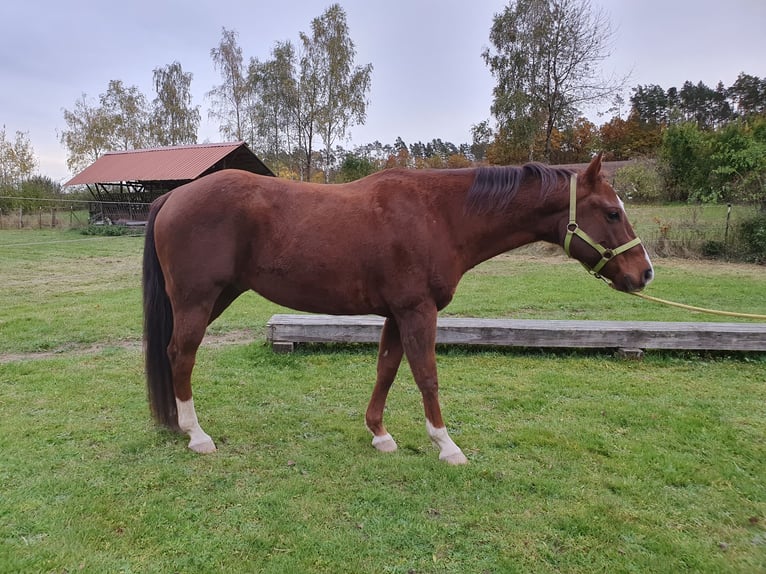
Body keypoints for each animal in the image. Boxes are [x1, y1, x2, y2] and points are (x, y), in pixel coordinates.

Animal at [142, 154, 656, 468]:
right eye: (612, 212)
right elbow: (426, 374)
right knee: (182, 356)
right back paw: (196, 435)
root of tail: (173, 195)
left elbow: (387, 369)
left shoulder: (395, 313)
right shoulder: (417, 310)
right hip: (198, 300)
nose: (645, 273)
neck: (440, 215)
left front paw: (380, 434)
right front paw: (446, 445)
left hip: (215, 298)